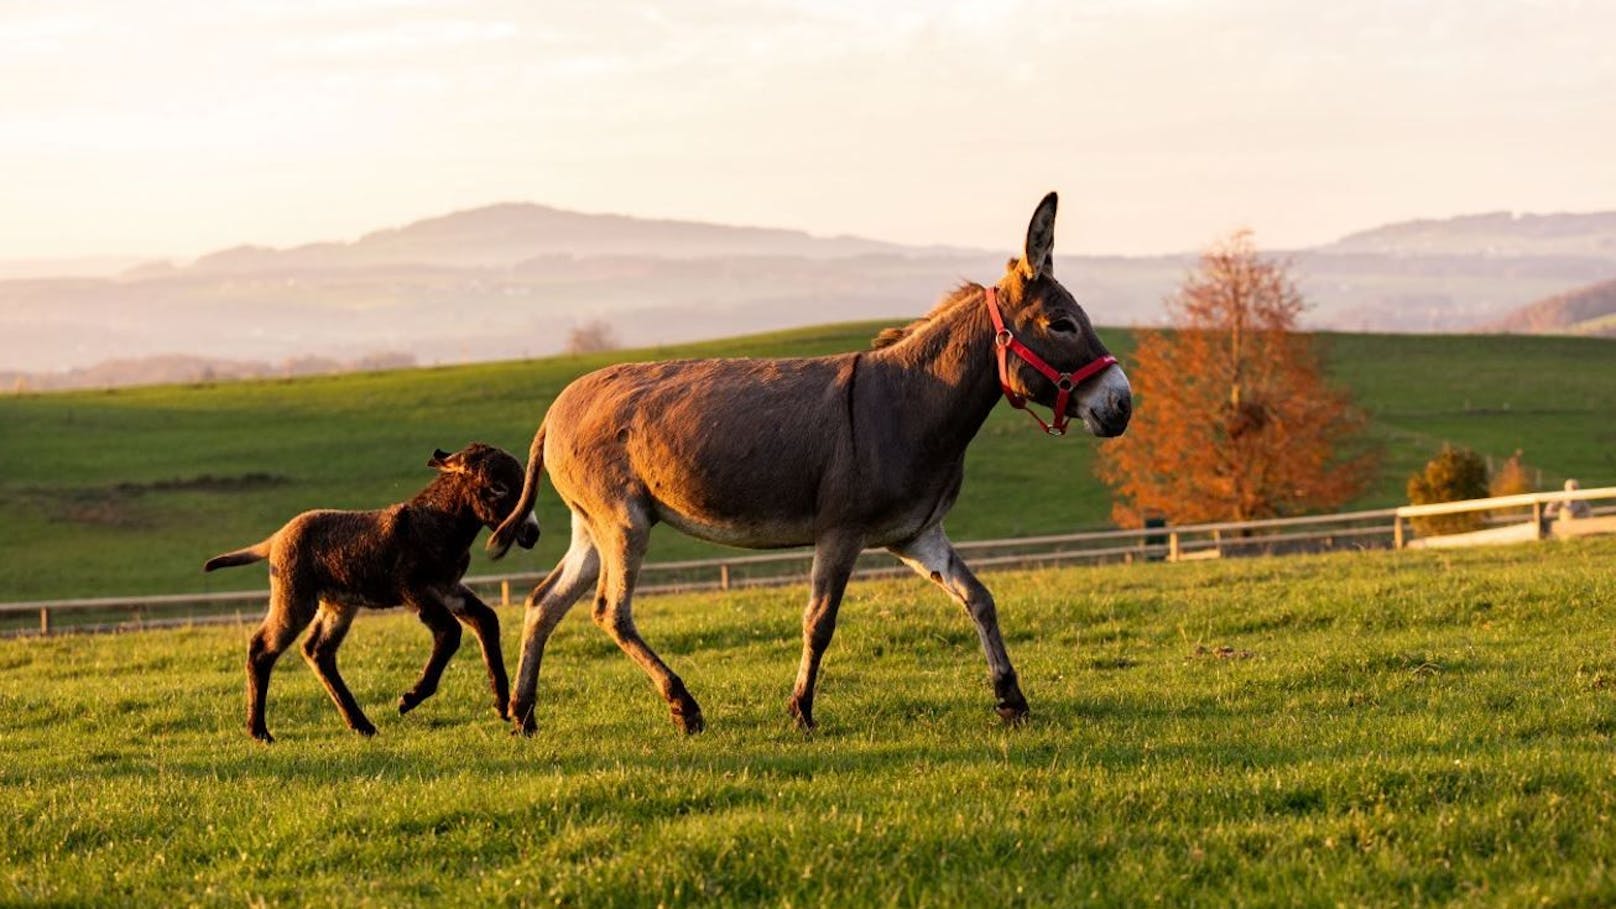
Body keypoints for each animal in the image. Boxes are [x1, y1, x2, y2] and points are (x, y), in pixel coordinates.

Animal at [203, 443, 536, 740]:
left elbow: (486, 620)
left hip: (338, 604)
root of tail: (277, 537)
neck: (437, 524)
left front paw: (502, 704)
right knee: (262, 648)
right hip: (295, 599)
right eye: (498, 488)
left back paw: (361, 725)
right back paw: (259, 731)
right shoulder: (415, 590)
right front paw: (409, 699)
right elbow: (450, 633)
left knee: (317, 651)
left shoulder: (448, 588)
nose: (532, 533)